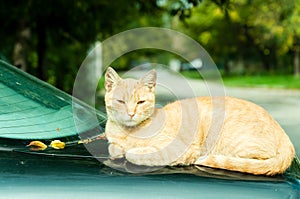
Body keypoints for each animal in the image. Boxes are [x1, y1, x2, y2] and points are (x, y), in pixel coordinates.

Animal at [104, 67, 294, 176]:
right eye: (120, 101)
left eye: (140, 102)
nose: (130, 114)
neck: (127, 133)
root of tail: (285, 137)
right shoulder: (113, 142)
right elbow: (113, 148)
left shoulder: (182, 149)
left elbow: (135, 155)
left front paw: (131, 151)